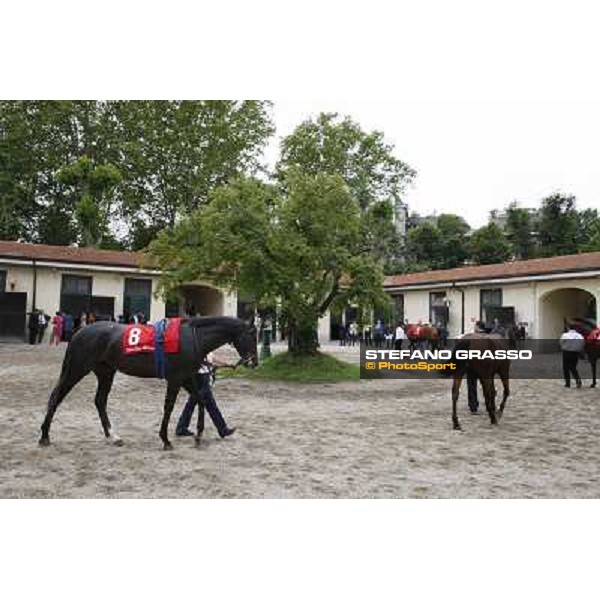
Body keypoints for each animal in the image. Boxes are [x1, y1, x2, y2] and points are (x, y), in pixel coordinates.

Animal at [39, 316, 255, 448]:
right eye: (252, 334)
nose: (254, 361)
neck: (192, 337)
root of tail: (79, 332)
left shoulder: (186, 377)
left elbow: (201, 399)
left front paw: (199, 435)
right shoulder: (175, 378)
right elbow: (169, 406)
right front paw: (166, 440)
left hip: (105, 372)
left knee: (100, 401)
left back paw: (113, 436)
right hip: (76, 369)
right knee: (57, 397)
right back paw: (44, 436)